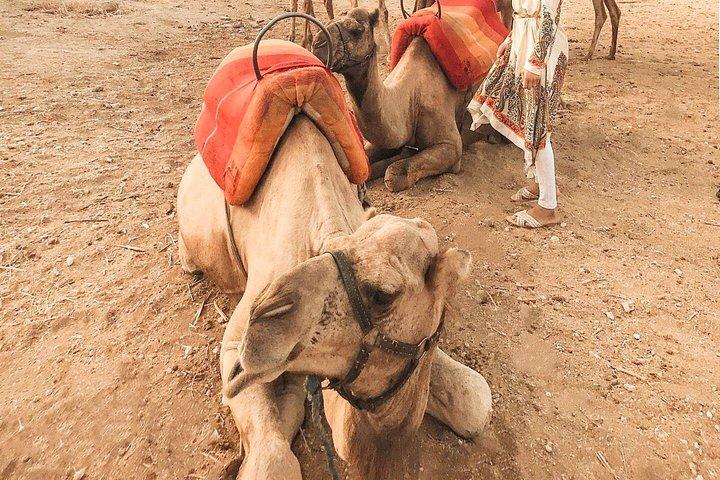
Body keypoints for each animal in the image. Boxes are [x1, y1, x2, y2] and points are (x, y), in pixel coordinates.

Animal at [312, 8, 477, 192]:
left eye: (356, 31)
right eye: (326, 23)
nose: (317, 44)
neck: (410, 101)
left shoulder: (451, 146)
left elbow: (395, 173)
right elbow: (367, 159)